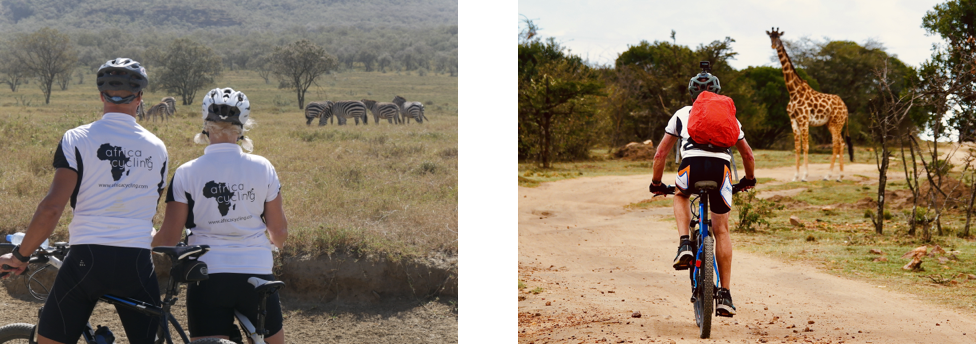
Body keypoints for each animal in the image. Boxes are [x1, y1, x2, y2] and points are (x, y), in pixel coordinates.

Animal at [768, 27, 852, 181]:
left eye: (779, 37)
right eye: (770, 36)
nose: (773, 46)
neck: (793, 91)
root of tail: (845, 107)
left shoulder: (804, 119)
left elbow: (806, 146)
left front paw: (804, 176)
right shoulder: (793, 120)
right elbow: (797, 147)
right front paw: (795, 176)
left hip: (836, 123)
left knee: (836, 144)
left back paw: (829, 175)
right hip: (832, 124)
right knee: (841, 143)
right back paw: (839, 176)